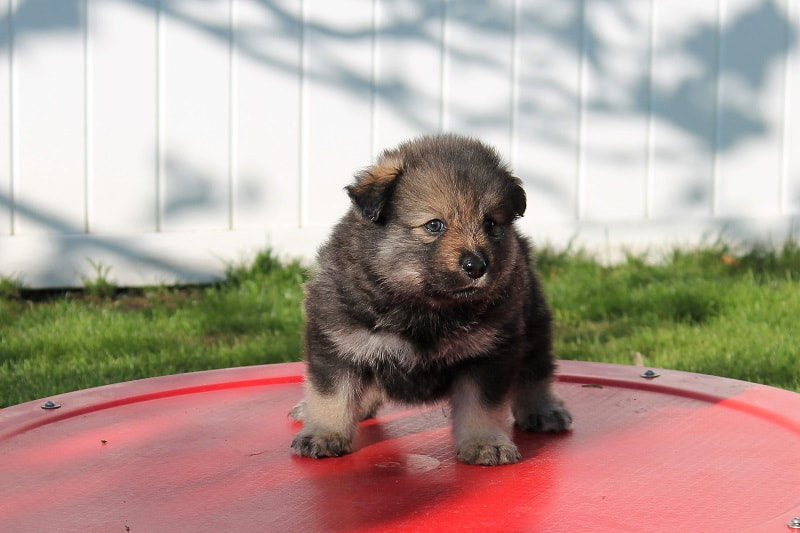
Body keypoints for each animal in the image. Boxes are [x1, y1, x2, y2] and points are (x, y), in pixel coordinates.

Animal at [290, 134, 572, 466]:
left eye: (490, 224)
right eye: (434, 225)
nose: (477, 266)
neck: (424, 306)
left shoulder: (489, 353)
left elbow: (482, 406)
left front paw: (485, 442)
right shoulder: (337, 341)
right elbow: (331, 395)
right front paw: (323, 433)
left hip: (532, 320)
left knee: (535, 372)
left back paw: (544, 409)